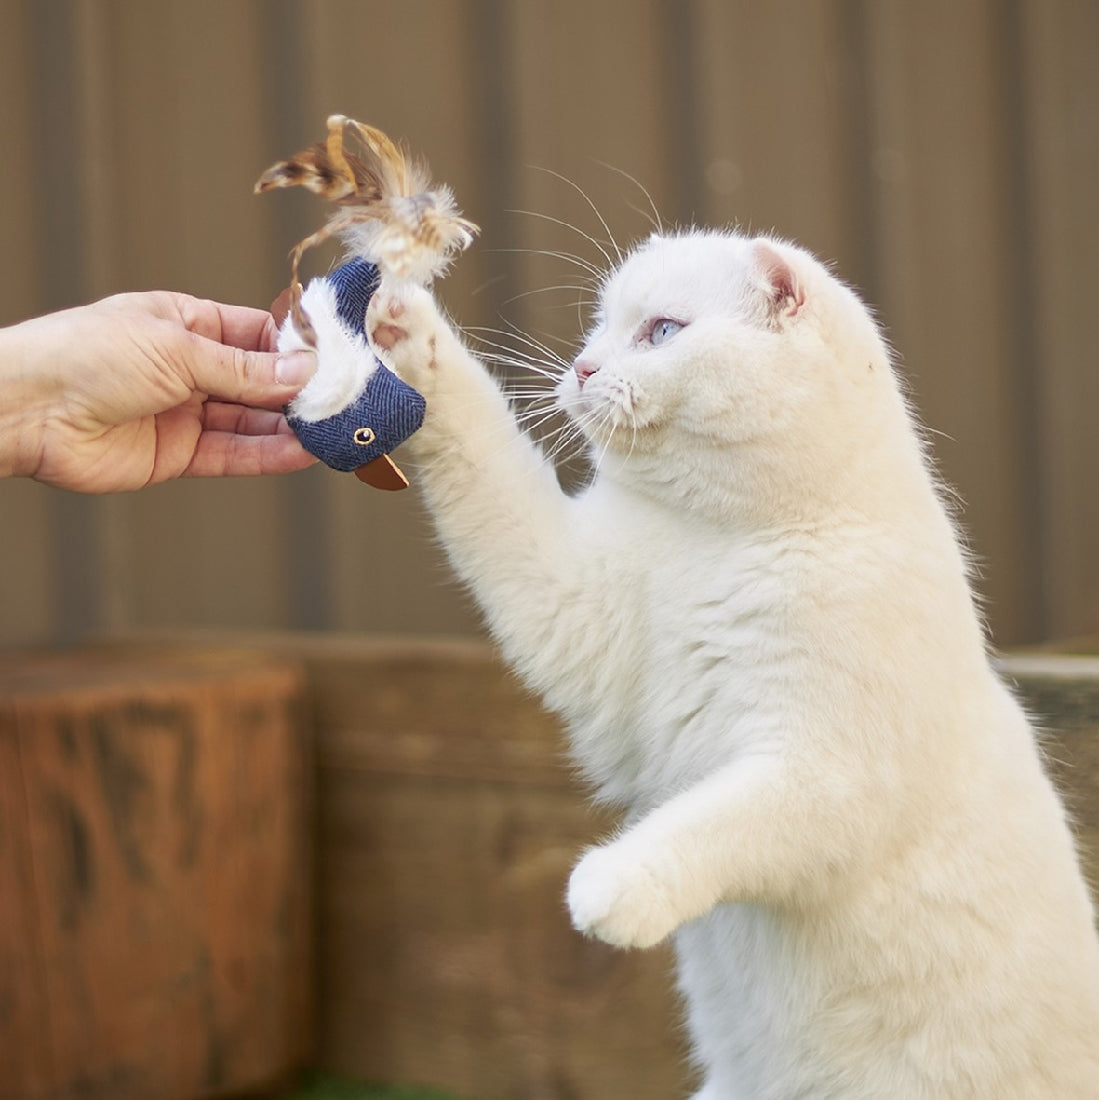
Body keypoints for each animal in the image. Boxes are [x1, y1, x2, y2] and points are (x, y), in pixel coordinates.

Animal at [363, 227, 1099, 1095]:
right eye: (600, 327)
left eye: (661, 332)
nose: (581, 368)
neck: (712, 541)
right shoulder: (567, 600)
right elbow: (481, 449)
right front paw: (400, 329)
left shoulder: (816, 778)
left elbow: (703, 825)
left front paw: (606, 893)